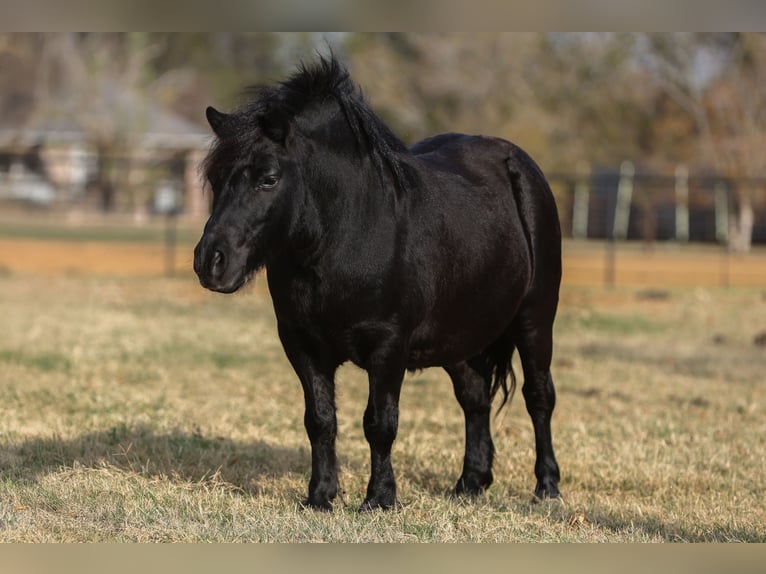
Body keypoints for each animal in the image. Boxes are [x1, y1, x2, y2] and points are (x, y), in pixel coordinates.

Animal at [194, 55, 561, 511]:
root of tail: (520, 164)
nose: (211, 261)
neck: (347, 233)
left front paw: (380, 498)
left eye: (269, 178)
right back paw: (470, 483)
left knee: (539, 397)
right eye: (216, 177)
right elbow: (320, 421)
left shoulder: (389, 346)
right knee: (475, 399)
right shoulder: (301, 344)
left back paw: (547, 486)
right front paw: (320, 496)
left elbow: (380, 423)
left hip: (535, 321)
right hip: (462, 336)